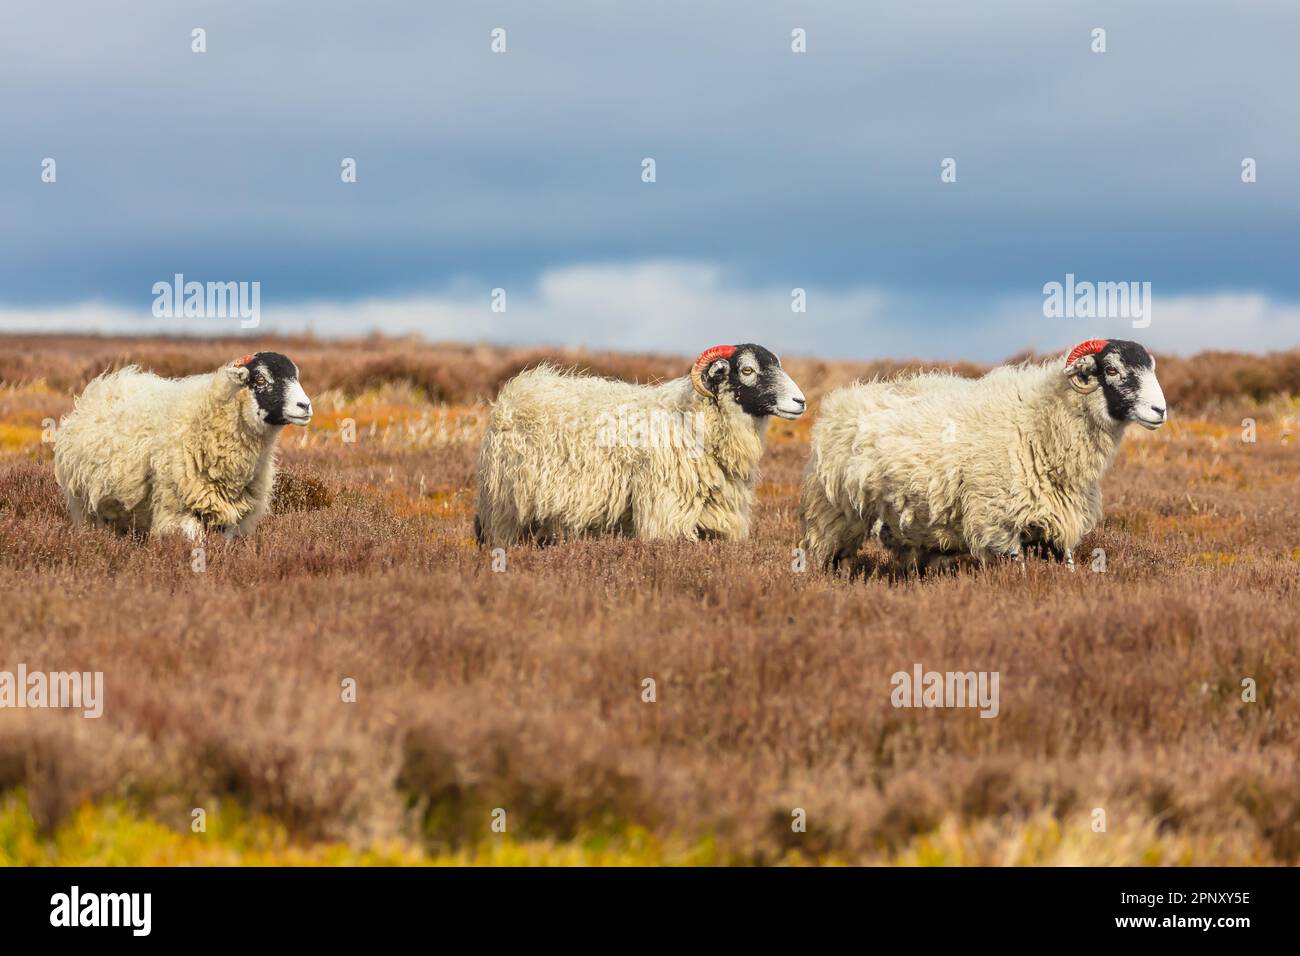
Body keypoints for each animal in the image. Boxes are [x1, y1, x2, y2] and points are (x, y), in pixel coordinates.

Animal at [53, 352, 313, 540]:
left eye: (295, 376)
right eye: (260, 379)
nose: (305, 406)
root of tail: (104, 385)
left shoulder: (230, 517)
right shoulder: (178, 509)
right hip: (87, 507)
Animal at [474, 344, 806, 546]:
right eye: (747, 370)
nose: (800, 401)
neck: (692, 418)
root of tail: (514, 391)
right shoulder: (666, 513)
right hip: (505, 507)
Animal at [799, 339, 1168, 573]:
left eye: (1151, 368)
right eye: (1112, 370)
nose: (1160, 410)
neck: (1040, 421)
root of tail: (838, 401)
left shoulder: (1055, 528)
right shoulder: (999, 526)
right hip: (834, 514)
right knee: (828, 558)